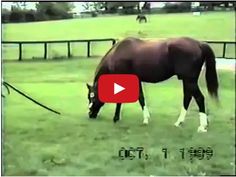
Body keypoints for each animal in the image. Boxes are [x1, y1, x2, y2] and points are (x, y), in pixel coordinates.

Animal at [85, 36, 218, 132]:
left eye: (92, 97)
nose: (90, 114)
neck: (117, 54)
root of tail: (199, 44)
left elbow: (122, 100)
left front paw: (116, 118)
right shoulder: (137, 80)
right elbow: (141, 97)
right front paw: (146, 118)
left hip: (189, 80)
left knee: (199, 98)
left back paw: (202, 126)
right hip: (187, 80)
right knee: (188, 98)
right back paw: (179, 122)